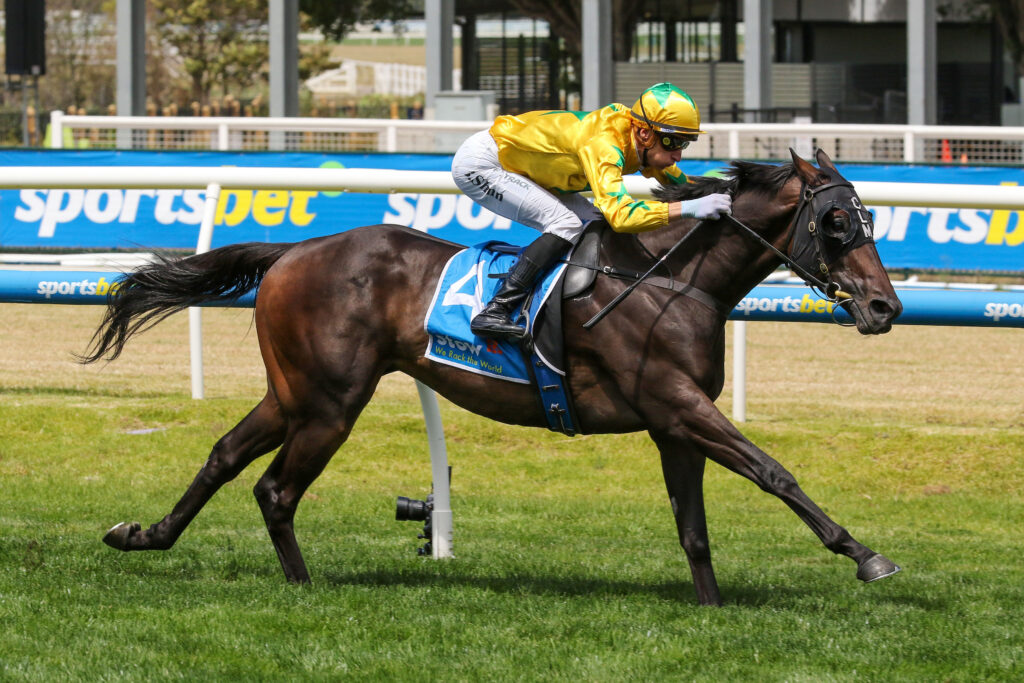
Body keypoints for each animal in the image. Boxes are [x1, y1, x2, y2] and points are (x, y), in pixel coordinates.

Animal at [82, 148, 902, 606]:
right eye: (837, 224)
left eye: (869, 221)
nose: (885, 306)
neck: (674, 278)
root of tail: (292, 250)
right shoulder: (677, 402)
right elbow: (773, 470)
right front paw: (866, 556)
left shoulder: (674, 421)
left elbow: (694, 528)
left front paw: (710, 608)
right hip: (329, 403)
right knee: (275, 488)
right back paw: (304, 590)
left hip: (294, 393)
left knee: (226, 455)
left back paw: (144, 535)